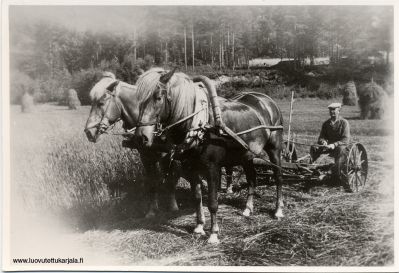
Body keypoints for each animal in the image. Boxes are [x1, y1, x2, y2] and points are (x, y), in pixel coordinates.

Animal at [136, 67, 286, 242]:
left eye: (158, 98)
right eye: (138, 100)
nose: (141, 137)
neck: (200, 126)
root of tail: (267, 101)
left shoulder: (212, 168)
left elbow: (212, 202)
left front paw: (213, 234)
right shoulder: (191, 167)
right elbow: (197, 197)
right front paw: (199, 227)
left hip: (275, 148)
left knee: (278, 176)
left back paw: (278, 210)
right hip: (247, 155)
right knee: (251, 178)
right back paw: (248, 209)